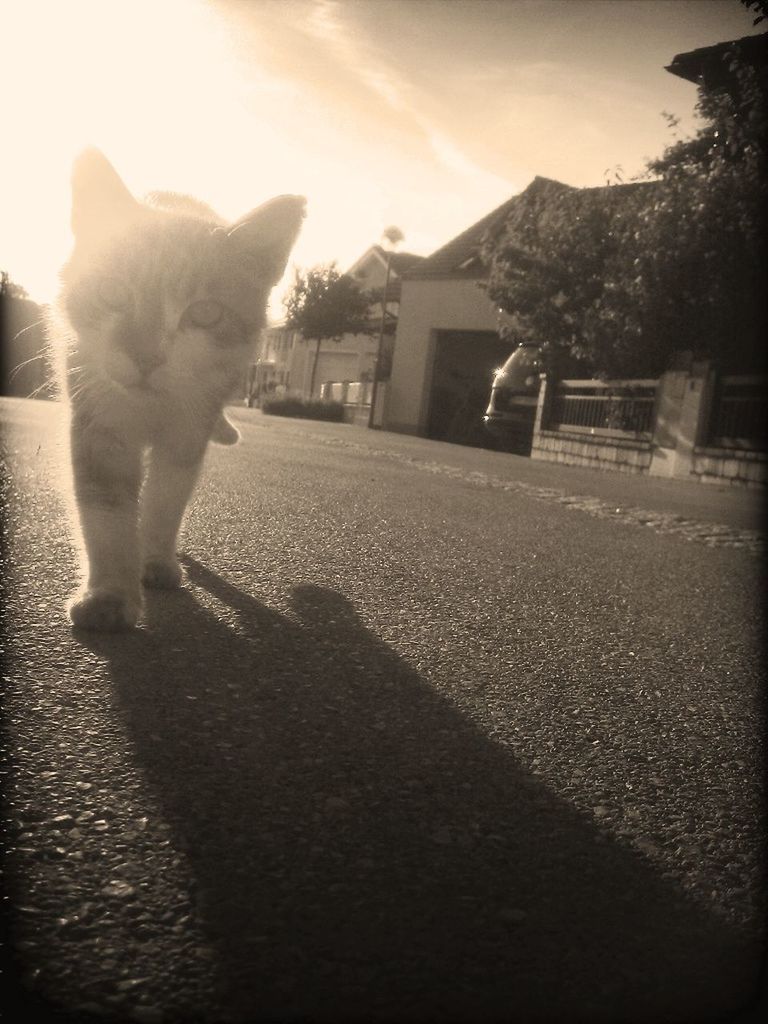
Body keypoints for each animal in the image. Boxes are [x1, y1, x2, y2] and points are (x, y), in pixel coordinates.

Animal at [48, 149, 303, 630]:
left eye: (204, 313)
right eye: (111, 291)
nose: (147, 357)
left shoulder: (188, 425)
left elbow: (167, 495)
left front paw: (156, 559)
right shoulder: (98, 415)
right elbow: (105, 505)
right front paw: (109, 593)